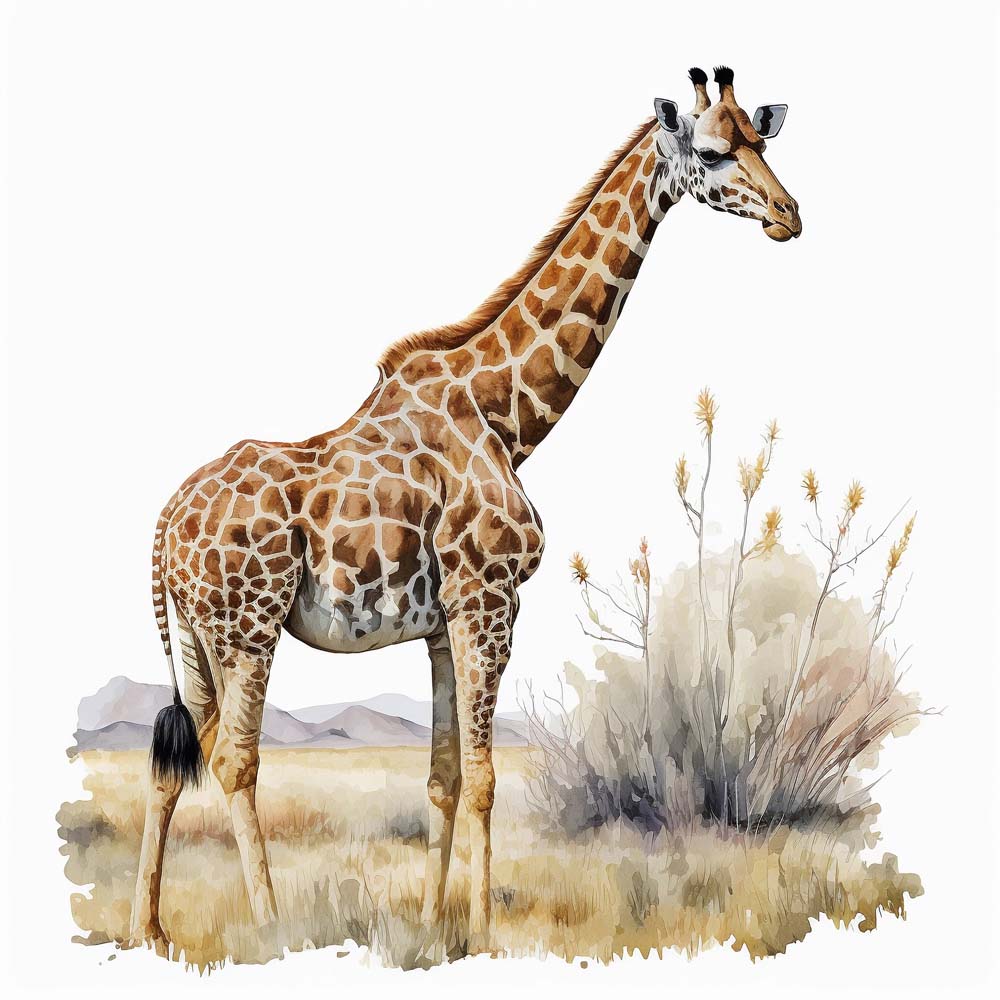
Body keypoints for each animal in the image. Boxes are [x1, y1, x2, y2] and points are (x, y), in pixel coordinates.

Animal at [130, 66, 800, 953]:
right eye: (717, 151)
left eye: (763, 138)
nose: (790, 214)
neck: (506, 416)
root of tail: (166, 522)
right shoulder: (490, 599)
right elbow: (483, 779)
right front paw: (482, 935)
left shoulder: (445, 620)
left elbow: (445, 778)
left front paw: (429, 925)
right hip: (249, 625)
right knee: (235, 760)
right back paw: (272, 926)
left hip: (196, 635)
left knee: (174, 759)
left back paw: (151, 929)